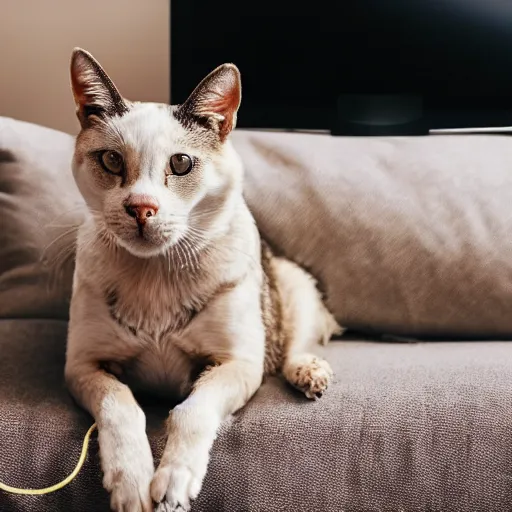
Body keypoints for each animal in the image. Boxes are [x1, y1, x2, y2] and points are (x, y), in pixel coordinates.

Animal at [66, 48, 342, 512]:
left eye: (180, 163)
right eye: (111, 160)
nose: (141, 208)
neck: (156, 272)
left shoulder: (237, 365)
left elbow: (192, 410)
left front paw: (174, 479)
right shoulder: (82, 367)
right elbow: (120, 404)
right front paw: (131, 479)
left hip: (295, 283)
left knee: (294, 343)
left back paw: (308, 370)